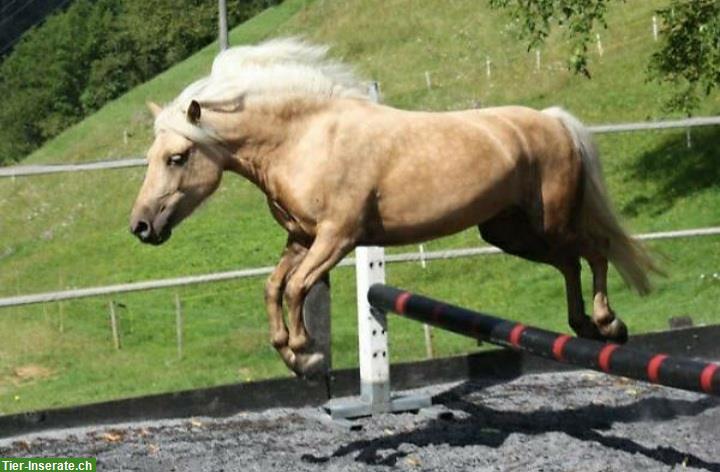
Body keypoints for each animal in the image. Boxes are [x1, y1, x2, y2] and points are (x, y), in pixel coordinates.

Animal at [128, 37, 660, 376]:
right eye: (151, 158)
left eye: (177, 157)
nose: (141, 226)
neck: (304, 137)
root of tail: (553, 120)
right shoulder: (301, 237)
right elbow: (274, 287)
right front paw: (290, 352)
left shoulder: (337, 237)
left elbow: (297, 287)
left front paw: (304, 352)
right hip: (510, 233)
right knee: (570, 261)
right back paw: (584, 327)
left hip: (551, 221)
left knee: (595, 248)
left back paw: (609, 324)